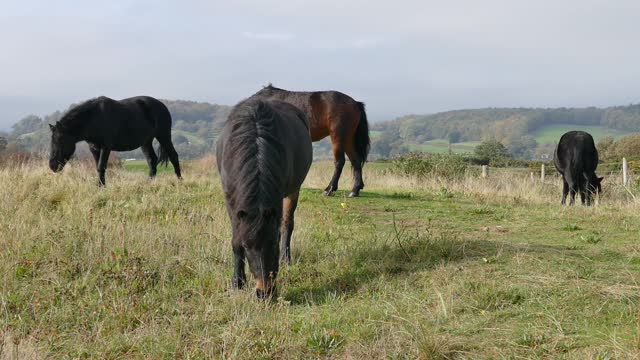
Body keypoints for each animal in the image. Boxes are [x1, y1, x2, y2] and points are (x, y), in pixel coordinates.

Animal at [48, 95, 180, 186]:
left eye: (60, 141)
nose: (52, 166)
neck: (94, 119)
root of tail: (162, 106)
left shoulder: (105, 147)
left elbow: (101, 166)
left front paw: (100, 186)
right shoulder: (94, 148)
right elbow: (98, 167)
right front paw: (101, 185)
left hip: (164, 136)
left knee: (173, 156)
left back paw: (179, 180)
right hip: (146, 142)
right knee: (152, 160)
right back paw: (149, 182)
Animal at [218, 97, 312, 298]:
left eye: (273, 242)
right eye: (247, 246)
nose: (264, 292)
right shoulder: (231, 203)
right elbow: (235, 240)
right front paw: (237, 282)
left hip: (293, 191)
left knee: (287, 224)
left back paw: (286, 259)